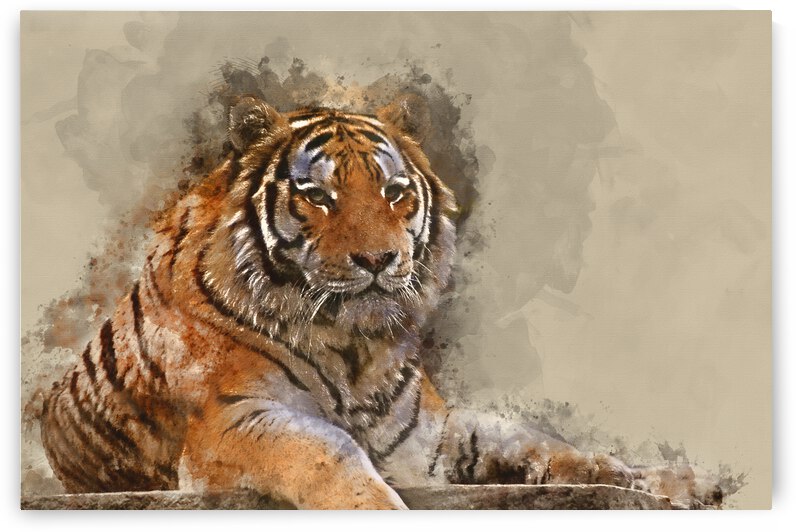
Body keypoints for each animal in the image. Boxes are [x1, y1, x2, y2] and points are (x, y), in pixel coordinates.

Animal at [40, 94, 723, 509]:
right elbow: (327, 450)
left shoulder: (428, 432)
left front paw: (655, 480)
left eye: (395, 192)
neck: (354, 346)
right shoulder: (232, 420)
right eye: (318, 196)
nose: (379, 260)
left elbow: (538, 439)